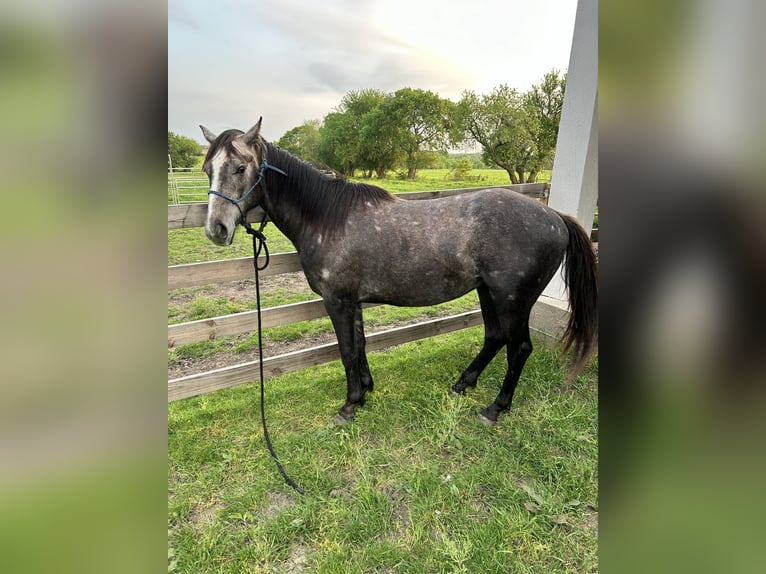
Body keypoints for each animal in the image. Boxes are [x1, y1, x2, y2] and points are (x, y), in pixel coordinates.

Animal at [198, 119, 600, 426]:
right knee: (495, 338)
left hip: (513, 300)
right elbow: (360, 345)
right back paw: (462, 385)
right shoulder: (353, 301)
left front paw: (349, 405)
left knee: (519, 348)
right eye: (208, 169)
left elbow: (346, 351)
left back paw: (495, 408)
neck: (328, 218)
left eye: (240, 168)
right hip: (488, 292)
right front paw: (365, 392)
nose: (216, 229)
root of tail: (555, 217)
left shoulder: (337, 301)